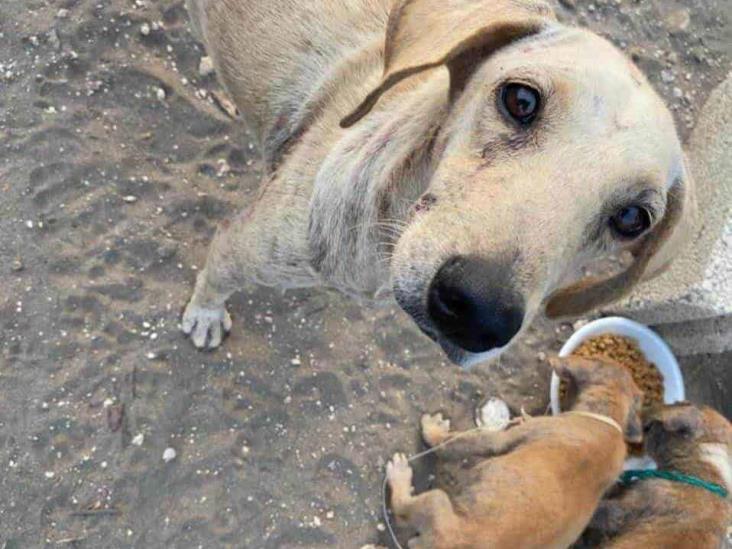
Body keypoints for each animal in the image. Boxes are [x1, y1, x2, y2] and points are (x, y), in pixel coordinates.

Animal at [180, 1, 696, 368]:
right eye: (521, 99)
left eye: (631, 218)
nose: (478, 314)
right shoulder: (238, 246)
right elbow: (214, 275)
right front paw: (205, 315)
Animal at [386, 356, 644, 548]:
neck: (606, 414)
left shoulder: (500, 438)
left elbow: (455, 443)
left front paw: (433, 431)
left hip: (436, 501)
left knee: (401, 507)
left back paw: (400, 475)